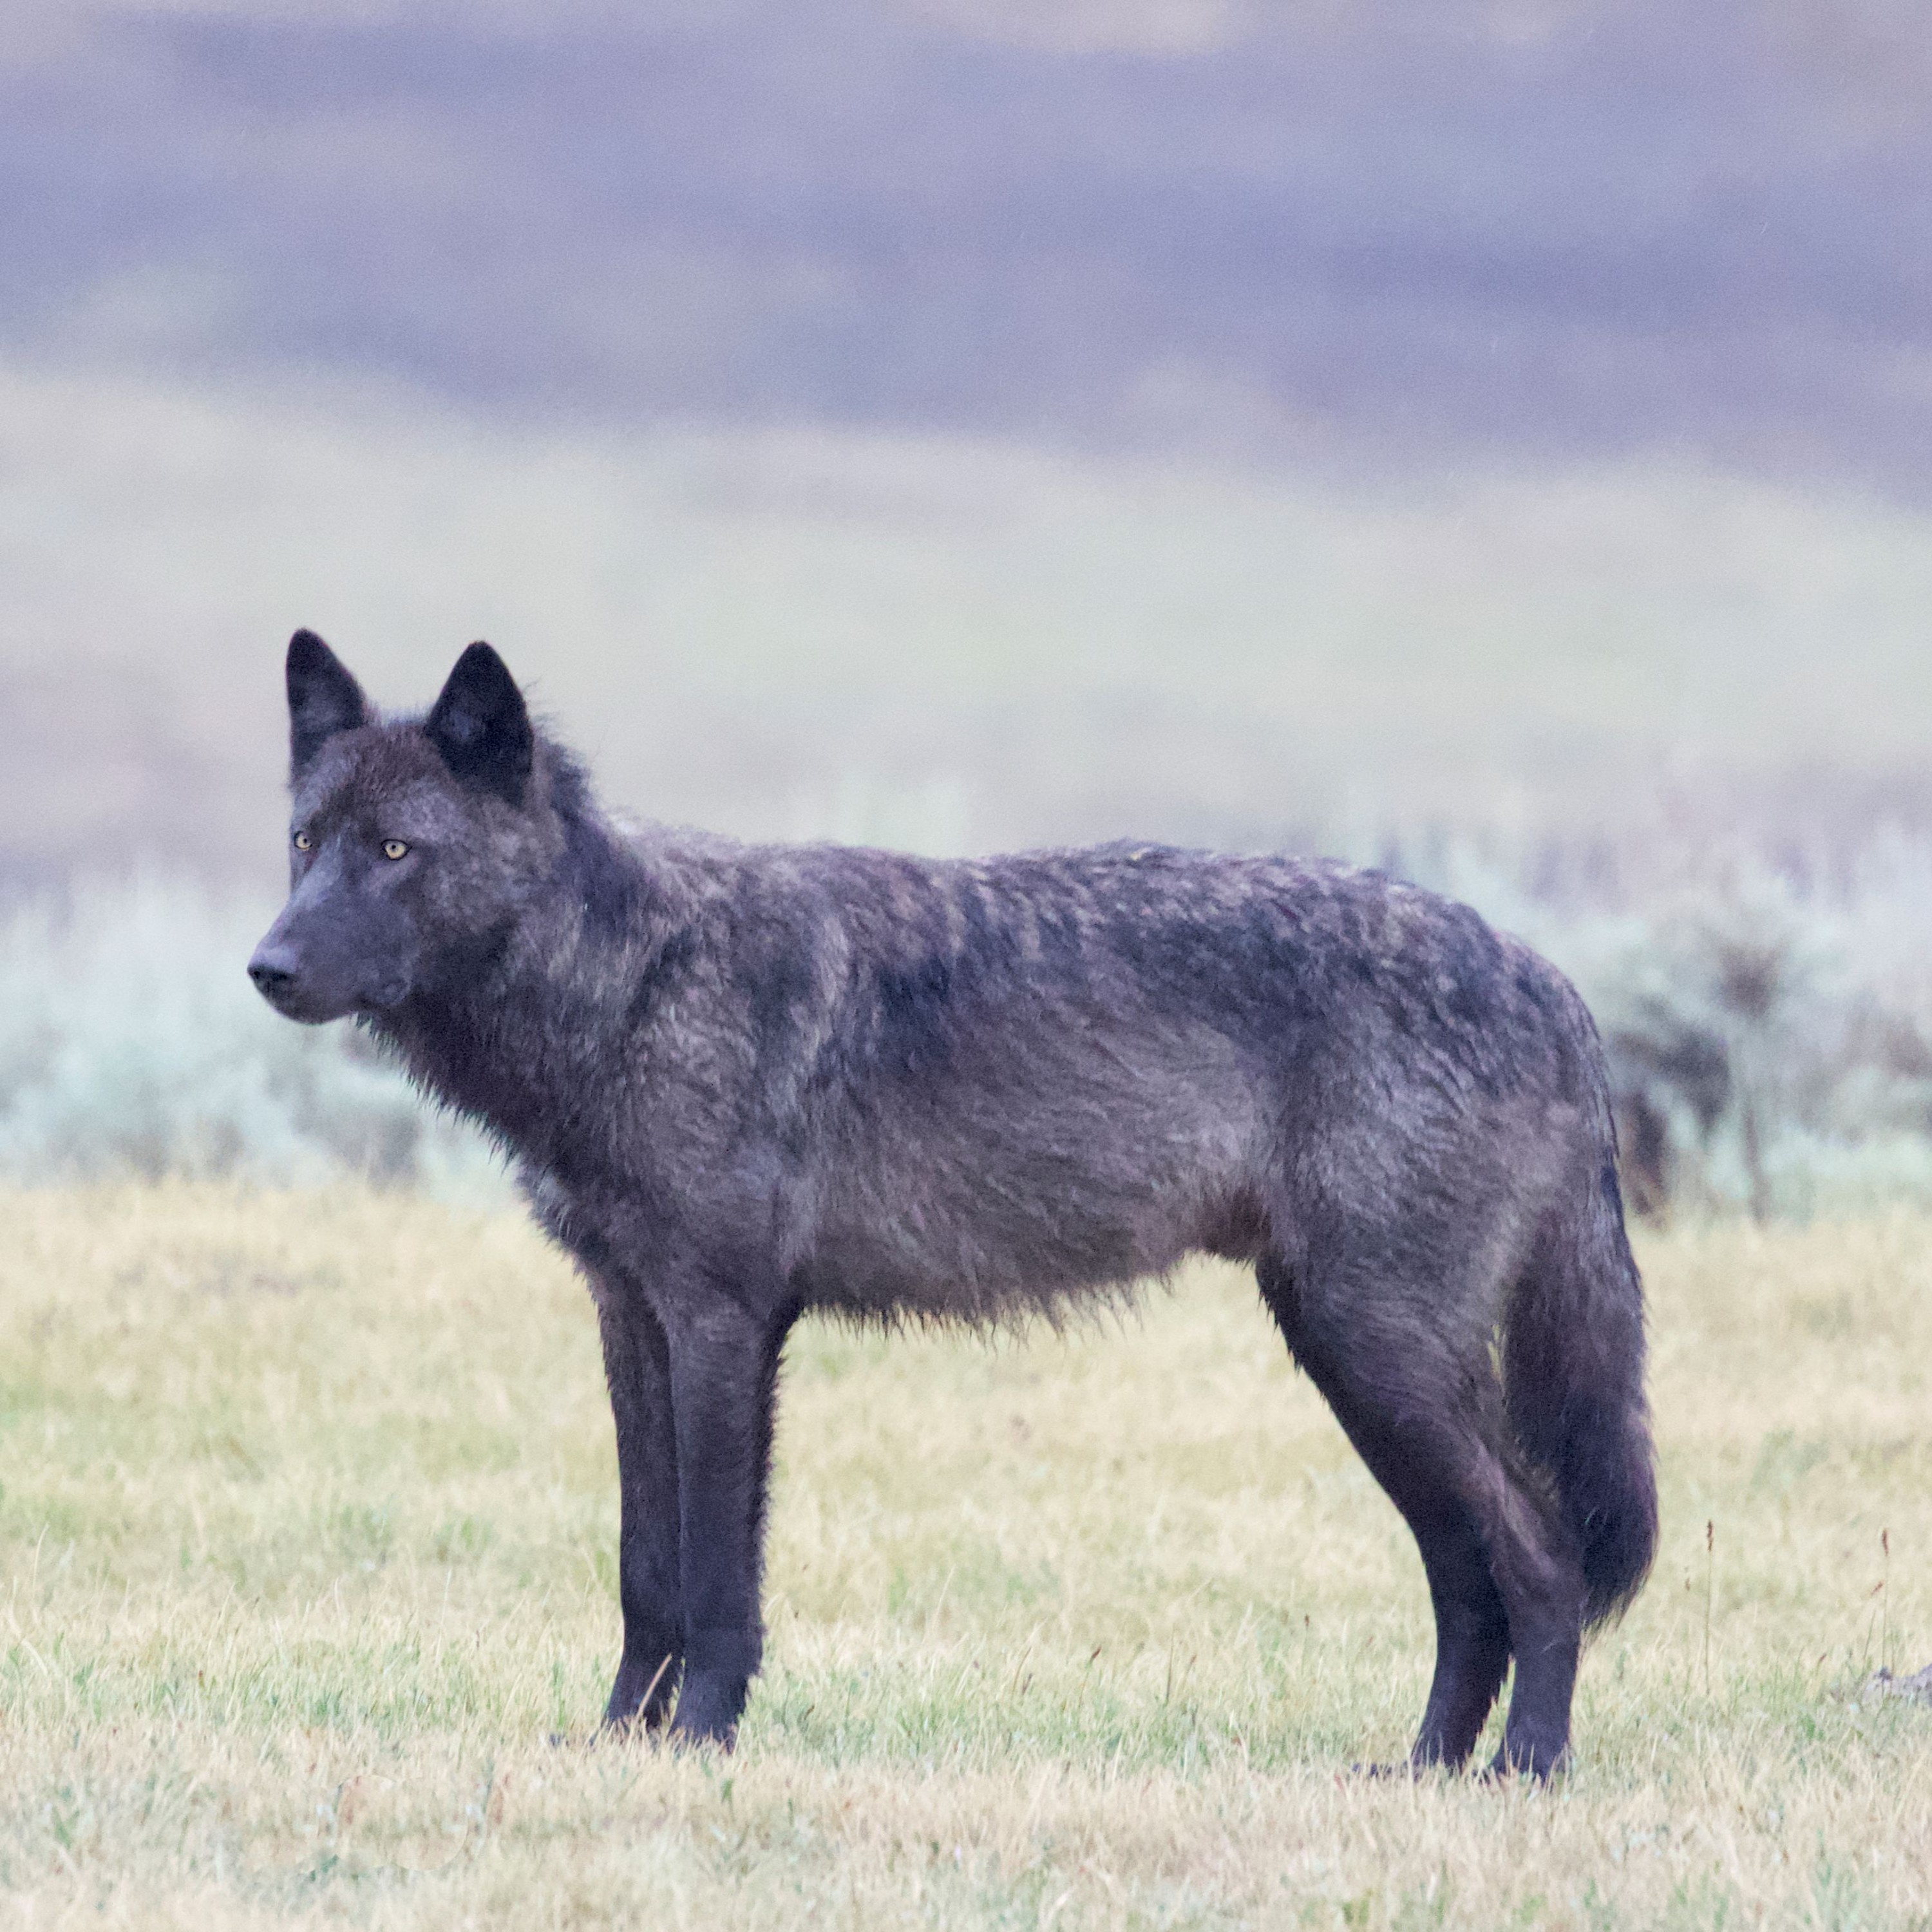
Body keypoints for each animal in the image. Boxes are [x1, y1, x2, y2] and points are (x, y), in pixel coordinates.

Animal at [248, 632, 1657, 1775]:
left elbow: (715, 1580)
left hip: (1383, 1362)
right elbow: (646, 1571)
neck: (631, 982)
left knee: (1542, 1563)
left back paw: (1525, 1774)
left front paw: (699, 1743)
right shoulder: (630, 1318)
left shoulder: (724, 1326)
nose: (266, 968)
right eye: (307, 844)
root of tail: (1555, 985)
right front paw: (615, 1744)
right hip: (1356, 1365)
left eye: (396, 852)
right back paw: (1421, 1772)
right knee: (1469, 1582)